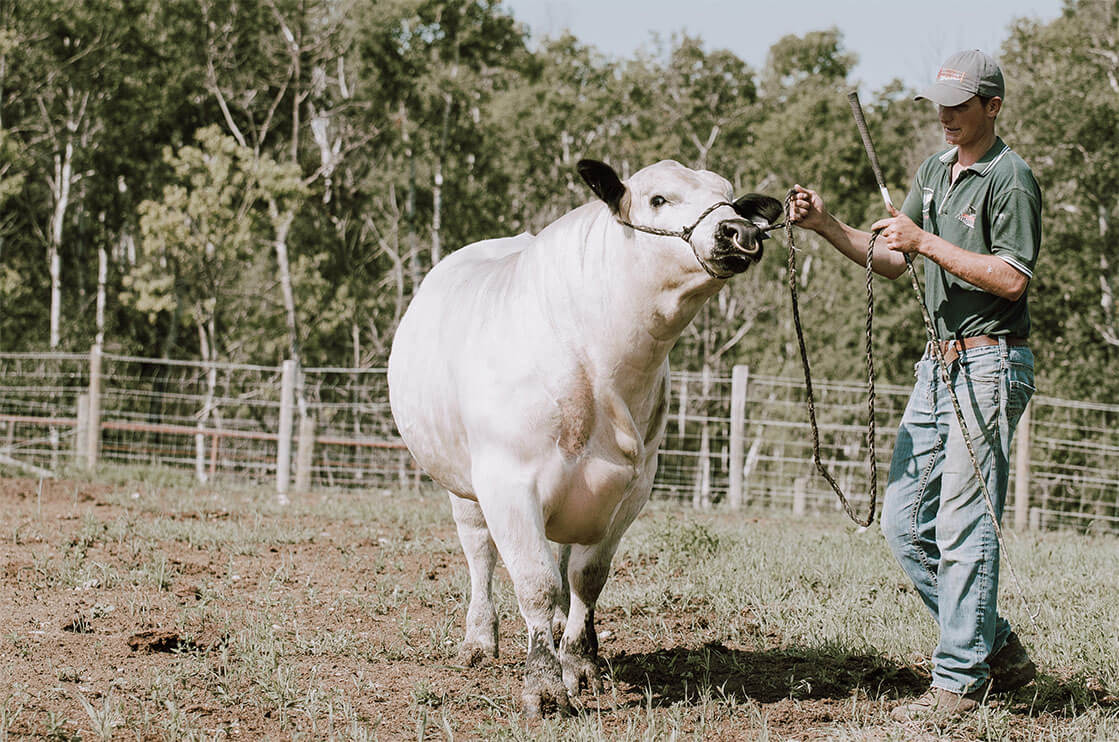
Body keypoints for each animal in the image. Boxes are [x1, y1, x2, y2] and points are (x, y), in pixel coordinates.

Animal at [388, 159, 783, 716]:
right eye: (658, 198)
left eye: (730, 197)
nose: (740, 231)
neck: (601, 367)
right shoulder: (508, 481)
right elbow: (534, 581)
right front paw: (544, 685)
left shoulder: (631, 488)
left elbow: (586, 577)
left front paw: (579, 662)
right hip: (460, 482)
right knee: (479, 552)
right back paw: (480, 640)